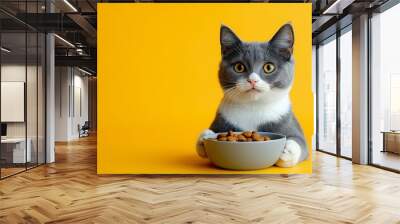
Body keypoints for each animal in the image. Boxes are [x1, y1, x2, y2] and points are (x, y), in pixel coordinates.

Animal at [197, 23, 310, 167]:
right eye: (239, 67)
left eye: (269, 67)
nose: (252, 80)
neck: (253, 106)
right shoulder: (222, 120)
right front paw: (204, 137)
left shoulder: (288, 121)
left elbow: (301, 143)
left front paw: (287, 149)